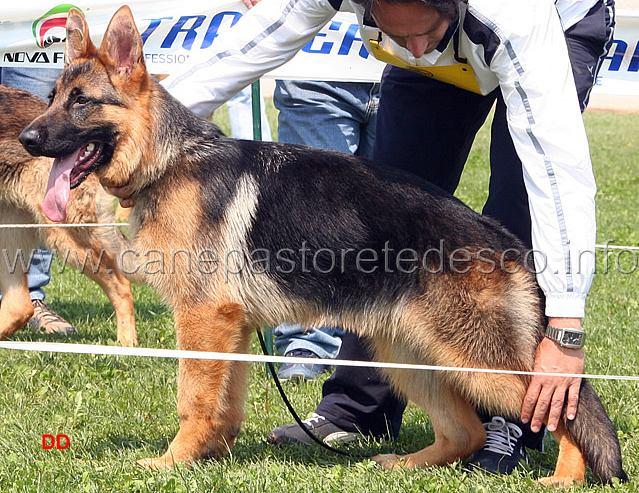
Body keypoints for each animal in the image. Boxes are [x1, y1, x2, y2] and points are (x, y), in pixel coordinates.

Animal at [18, 4, 624, 484]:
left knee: (561, 406)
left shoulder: (202, 318)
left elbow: (193, 399)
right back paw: (403, 466)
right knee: (465, 432)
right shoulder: (233, 326)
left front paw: (173, 462)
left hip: (477, 362)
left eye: (81, 102)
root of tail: (503, 238)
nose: (25, 139)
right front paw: (213, 455)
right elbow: (225, 401)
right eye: (52, 98)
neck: (168, 159)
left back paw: (566, 476)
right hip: (405, 352)